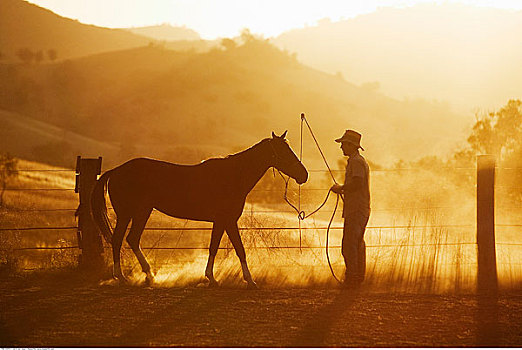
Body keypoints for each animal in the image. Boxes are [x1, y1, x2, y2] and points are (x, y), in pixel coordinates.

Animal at [89, 131, 306, 288]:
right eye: (284, 152)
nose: (304, 175)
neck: (233, 176)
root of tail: (116, 171)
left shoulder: (221, 221)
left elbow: (214, 247)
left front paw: (212, 278)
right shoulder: (228, 220)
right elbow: (239, 249)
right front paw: (249, 280)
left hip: (142, 212)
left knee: (132, 239)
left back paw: (149, 276)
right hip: (127, 214)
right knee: (118, 240)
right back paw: (121, 277)